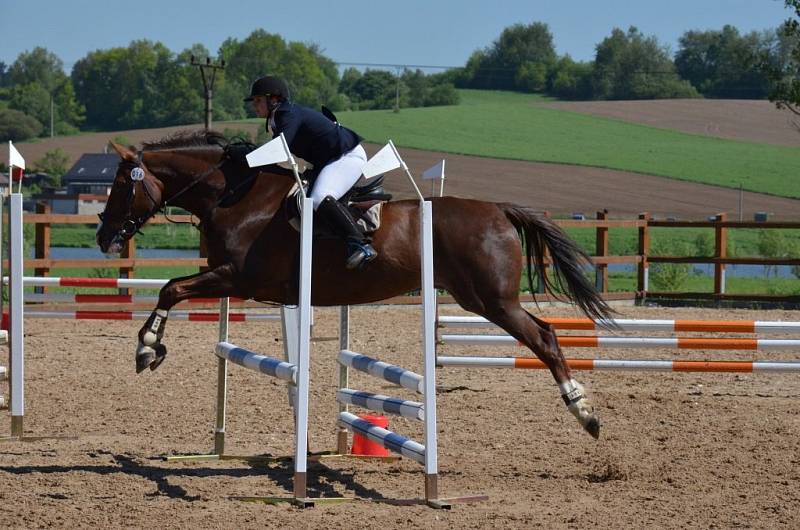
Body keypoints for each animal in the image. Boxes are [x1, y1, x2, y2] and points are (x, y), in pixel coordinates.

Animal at [97, 130, 616, 436]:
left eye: (121, 184)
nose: (103, 237)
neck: (236, 197)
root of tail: (499, 210)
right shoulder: (233, 280)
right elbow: (173, 287)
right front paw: (149, 348)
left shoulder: (237, 278)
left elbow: (171, 288)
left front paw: (147, 348)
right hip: (486, 299)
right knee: (545, 333)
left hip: (490, 300)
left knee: (544, 338)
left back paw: (585, 413)